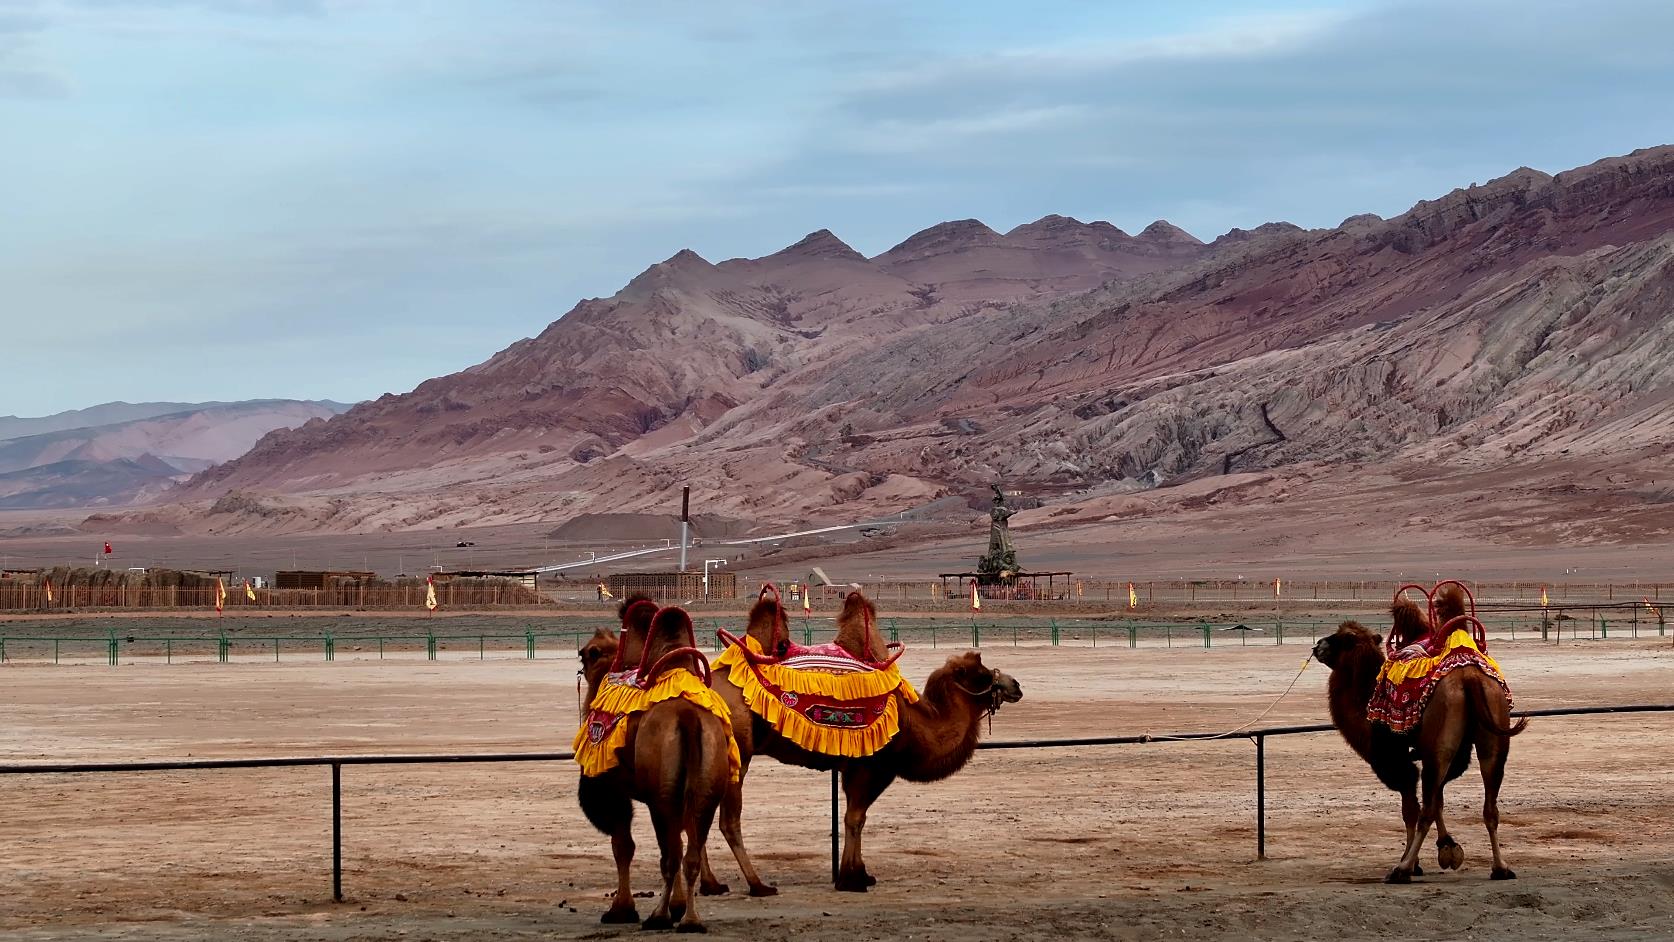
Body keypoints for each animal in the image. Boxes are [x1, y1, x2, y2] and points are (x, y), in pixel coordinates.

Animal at [579, 609, 729, 930]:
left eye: (585, 653)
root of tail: (687, 718)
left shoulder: (613, 790)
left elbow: (622, 845)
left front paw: (621, 910)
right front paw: (677, 905)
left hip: (662, 797)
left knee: (669, 854)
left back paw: (659, 916)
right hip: (706, 790)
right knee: (688, 850)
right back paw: (690, 919)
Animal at [703, 592, 1017, 896]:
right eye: (983, 674)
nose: (1015, 685)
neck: (913, 722)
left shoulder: (854, 767)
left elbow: (855, 817)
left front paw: (859, 872)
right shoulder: (872, 766)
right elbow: (855, 818)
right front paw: (852, 879)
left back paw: (712, 884)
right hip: (739, 756)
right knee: (728, 821)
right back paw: (757, 885)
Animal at [1305, 592, 1533, 890]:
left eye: (1343, 638)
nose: (1317, 646)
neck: (1366, 700)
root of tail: (1469, 677)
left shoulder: (1395, 760)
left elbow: (1412, 808)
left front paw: (1417, 861)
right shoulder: (1451, 756)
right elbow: (1438, 799)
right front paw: (1447, 848)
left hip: (1440, 745)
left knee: (1426, 810)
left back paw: (1400, 871)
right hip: (1492, 736)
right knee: (1490, 806)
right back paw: (1501, 868)